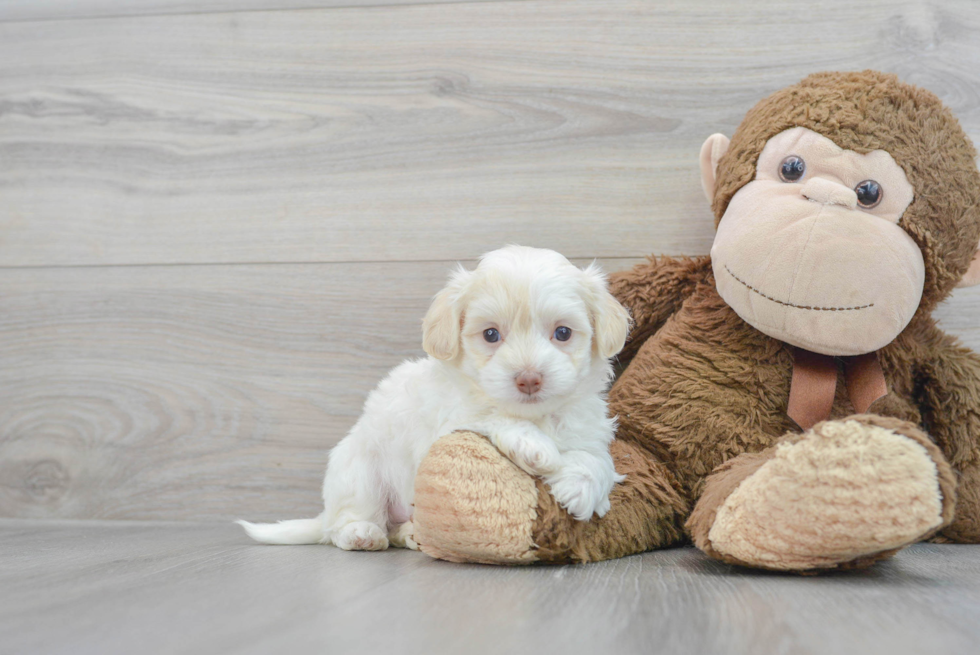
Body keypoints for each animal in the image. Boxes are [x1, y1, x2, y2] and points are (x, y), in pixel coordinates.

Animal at [241, 243, 632, 552]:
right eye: (491, 334)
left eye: (563, 333)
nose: (529, 379)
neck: (536, 415)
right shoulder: (450, 422)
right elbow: (491, 415)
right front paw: (535, 446)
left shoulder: (589, 428)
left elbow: (599, 459)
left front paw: (581, 488)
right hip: (357, 469)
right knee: (346, 521)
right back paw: (361, 533)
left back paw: (411, 534)